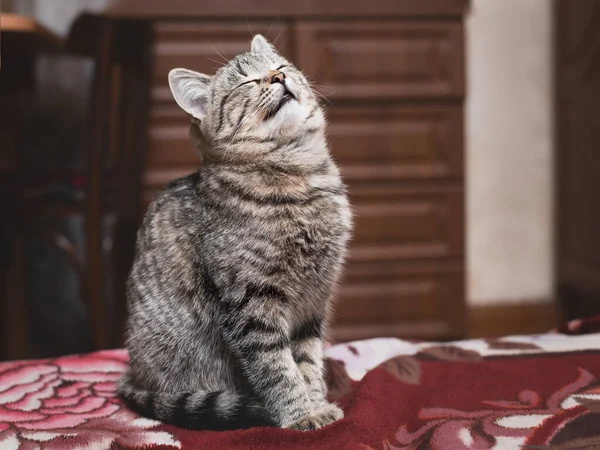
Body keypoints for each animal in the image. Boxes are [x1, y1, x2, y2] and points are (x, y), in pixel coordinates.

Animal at [117, 33, 352, 430]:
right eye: (247, 82)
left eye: (280, 66)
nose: (276, 77)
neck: (298, 175)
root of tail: (133, 378)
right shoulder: (249, 300)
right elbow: (278, 369)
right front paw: (301, 413)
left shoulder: (313, 302)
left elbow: (308, 361)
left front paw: (318, 403)